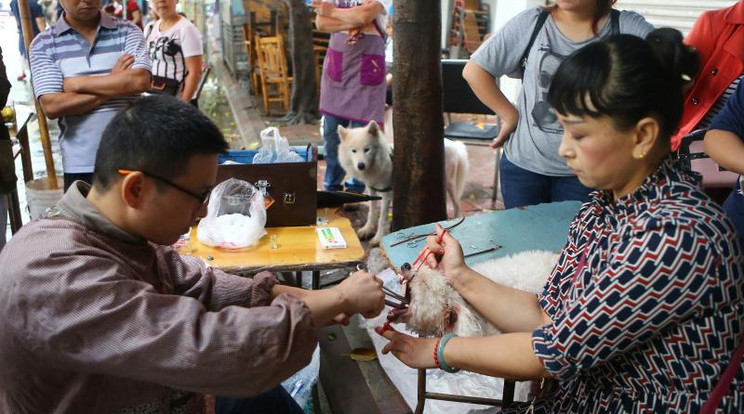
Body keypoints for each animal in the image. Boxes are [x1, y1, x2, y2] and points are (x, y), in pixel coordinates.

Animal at [338, 121, 468, 247]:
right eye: (354, 151)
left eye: (367, 149)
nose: (360, 166)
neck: (376, 164)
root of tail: (454, 144)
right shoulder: (371, 190)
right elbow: (372, 213)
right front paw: (367, 230)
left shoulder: (386, 193)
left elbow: (382, 218)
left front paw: (378, 238)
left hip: (449, 183)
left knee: (457, 203)